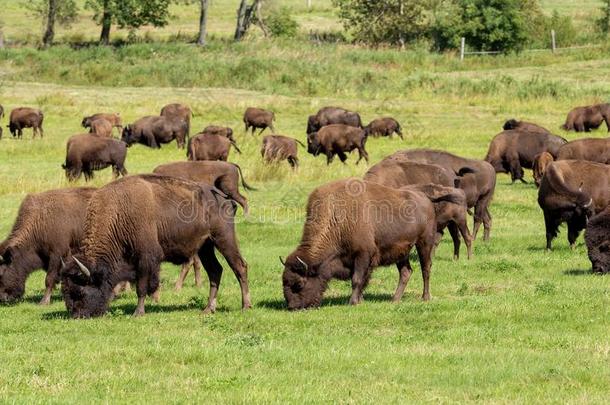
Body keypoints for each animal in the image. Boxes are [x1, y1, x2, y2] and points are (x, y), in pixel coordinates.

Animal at [60, 175, 251, 318]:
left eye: (80, 290)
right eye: (64, 291)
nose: (76, 315)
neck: (118, 213)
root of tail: (225, 198)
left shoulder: (145, 258)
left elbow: (142, 286)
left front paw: (138, 312)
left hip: (223, 239)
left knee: (240, 266)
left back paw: (245, 306)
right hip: (205, 247)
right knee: (215, 271)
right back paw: (208, 309)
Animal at [280, 178, 452, 308]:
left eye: (299, 284)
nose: (292, 307)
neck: (336, 215)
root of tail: (425, 199)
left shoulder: (362, 254)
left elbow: (357, 279)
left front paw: (353, 302)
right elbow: (361, 279)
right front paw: (360, 300)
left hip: (424, 243)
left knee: (426, 269)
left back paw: (425, 297)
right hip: (402, 252)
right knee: (406, 272)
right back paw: (394, 299)